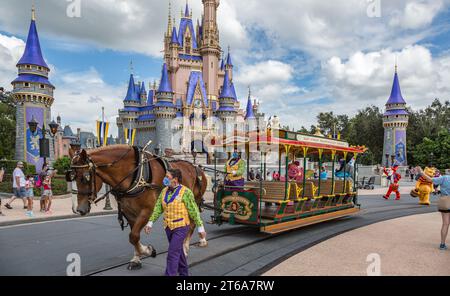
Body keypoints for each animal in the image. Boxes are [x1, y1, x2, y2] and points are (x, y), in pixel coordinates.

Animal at [68, 145, 209, 270]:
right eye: (72, 177)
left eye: (86, 177)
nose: (80, 209)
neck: (134, 175)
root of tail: (197, 167)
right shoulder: (129, 213)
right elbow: (133, 236)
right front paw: (136, 258)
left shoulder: (147, 211)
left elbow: (134, 235)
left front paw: (148, 250)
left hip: (193, 202)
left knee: (192, 223)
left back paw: (187, 247)